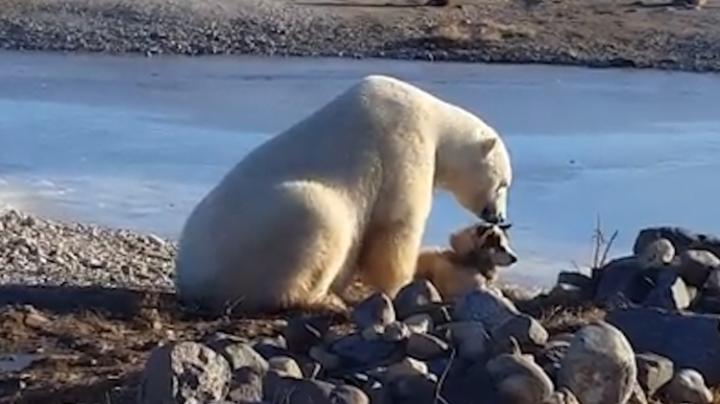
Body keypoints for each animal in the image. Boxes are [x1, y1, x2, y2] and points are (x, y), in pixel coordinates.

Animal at [174, 74, 513, 313]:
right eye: (504, 183)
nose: (499, 216)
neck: (435, 120)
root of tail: (190, 278)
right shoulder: (403, 146)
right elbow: (396, 226)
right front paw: (403, 285)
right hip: (259, 235)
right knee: (319, 217)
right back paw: (320, 300)